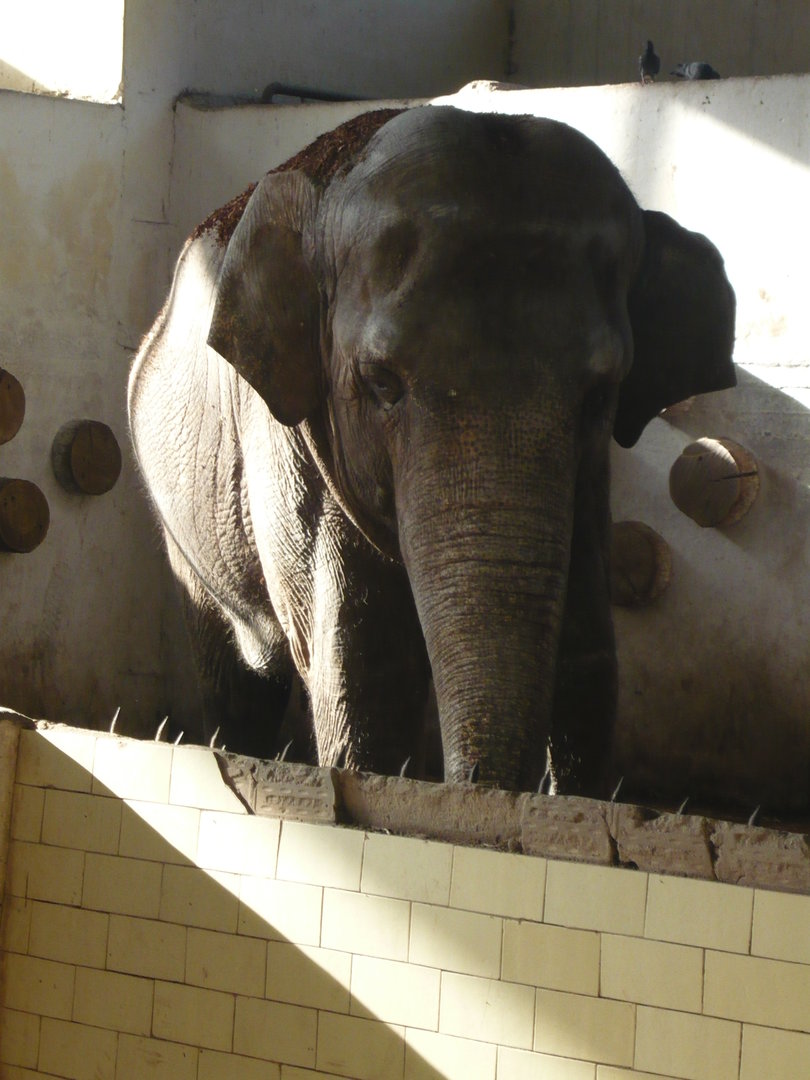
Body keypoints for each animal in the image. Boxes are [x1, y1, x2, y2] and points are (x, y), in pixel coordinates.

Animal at [128, 104, 736, 795]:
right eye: (381, 383)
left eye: (601, 395)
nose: (478, 788)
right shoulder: (290, 447)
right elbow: (364, 670)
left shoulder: (588, 483)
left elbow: (589, 658)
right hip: (181, 522)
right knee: (234, 675)